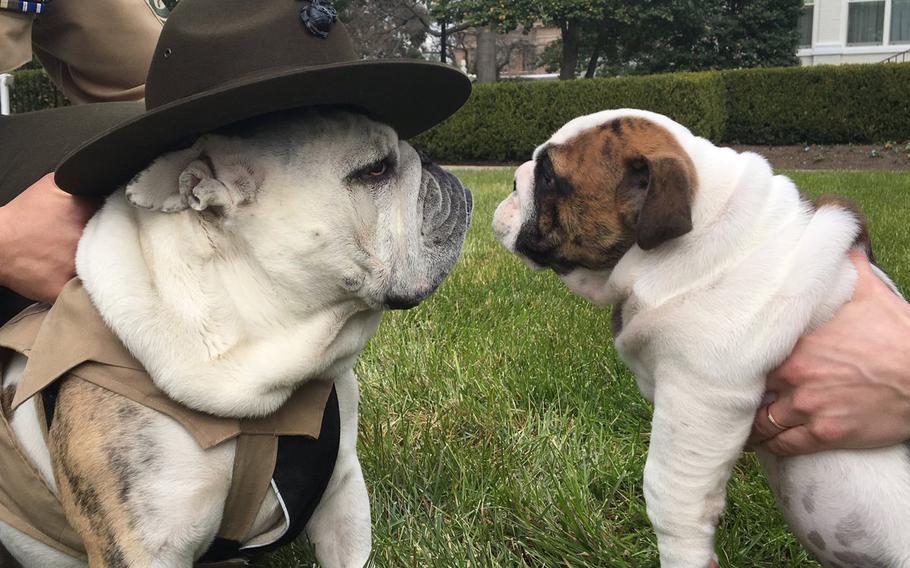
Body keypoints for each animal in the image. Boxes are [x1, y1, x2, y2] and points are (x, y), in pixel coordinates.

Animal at [492, 110, 910, 568]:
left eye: (549, 176)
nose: (514, 178)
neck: (702, 223)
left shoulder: (701, 397)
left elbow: (668, 492)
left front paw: (683, 550)